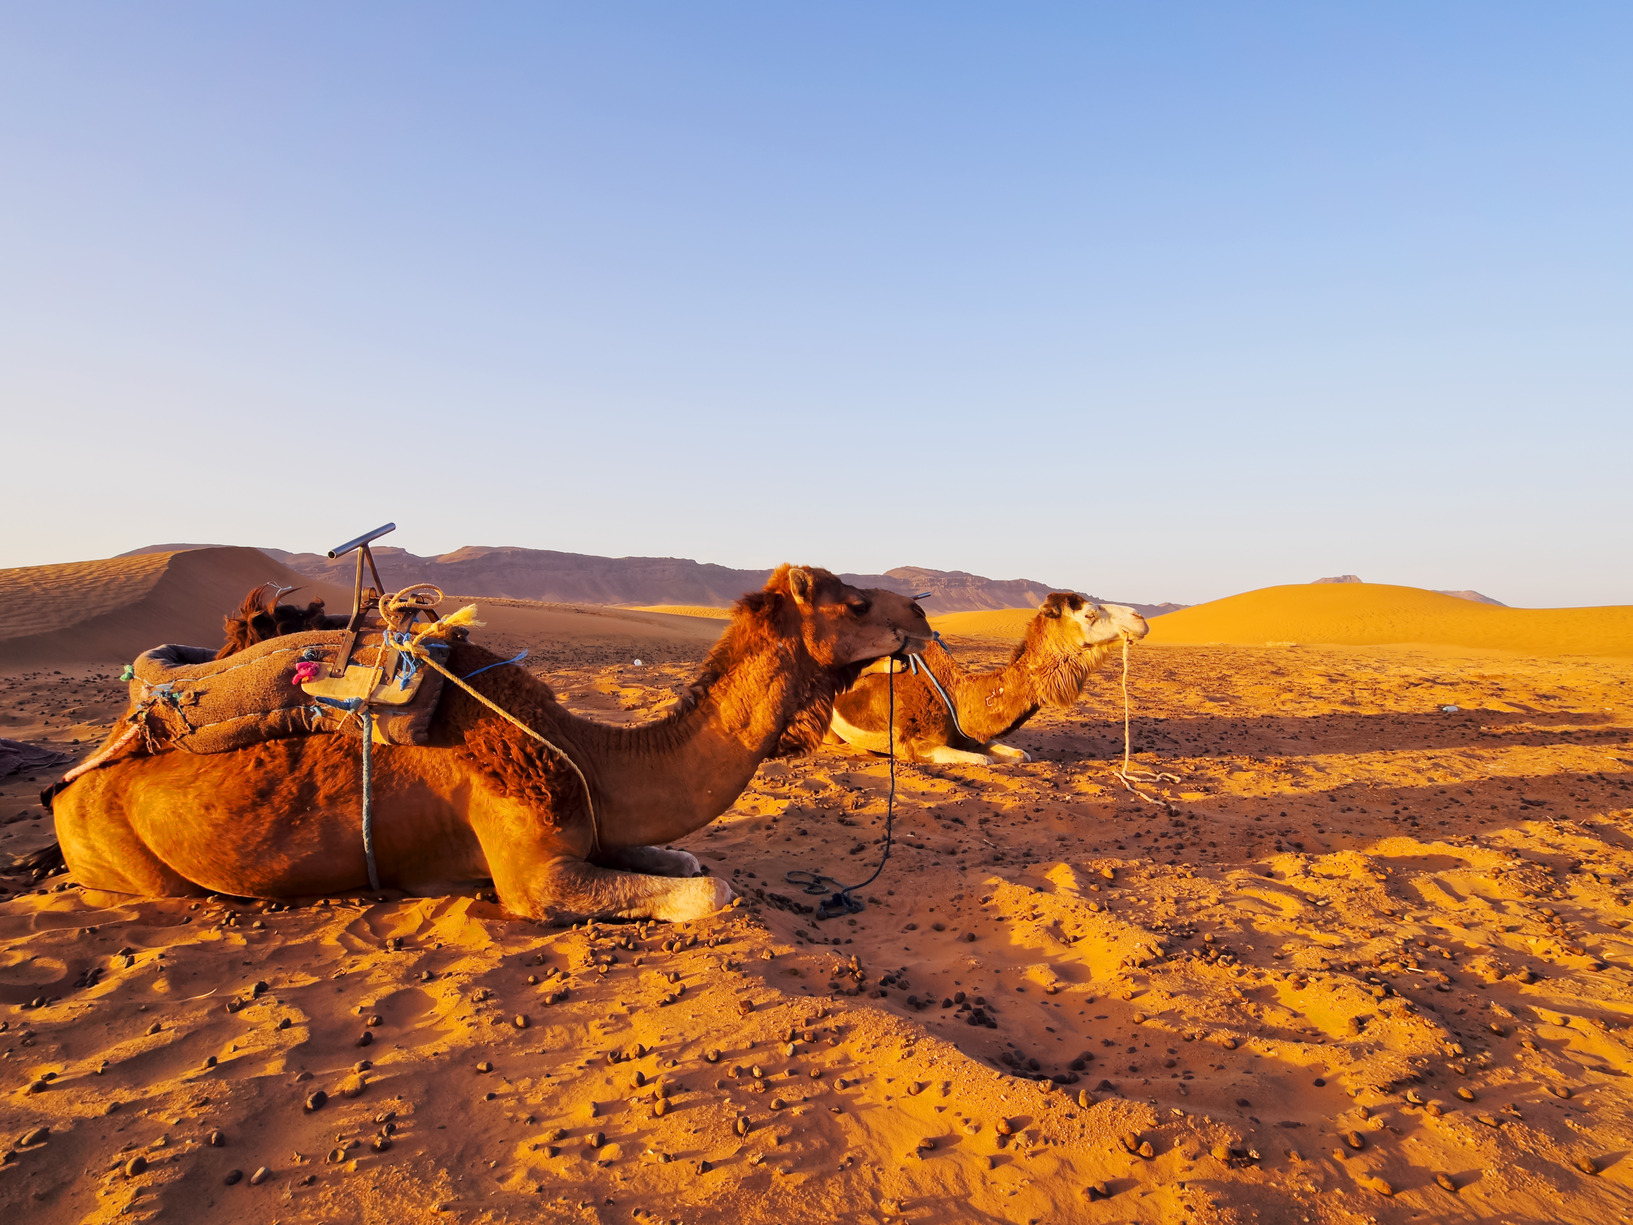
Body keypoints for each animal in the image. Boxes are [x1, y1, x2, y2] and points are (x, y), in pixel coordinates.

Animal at [54, 571, 934, 927]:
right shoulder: (531, 873)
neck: (584, 750)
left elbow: (684, 859)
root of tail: (66, 786)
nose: (924, 614)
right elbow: (712, 890)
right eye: (855, 602)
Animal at [829, 591, 1149, 764]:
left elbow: (1020, 754)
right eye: (1089, 614)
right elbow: (984, 760)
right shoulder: (916, 743)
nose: (1139, 618)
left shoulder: (970, 736)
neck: (956, 695)